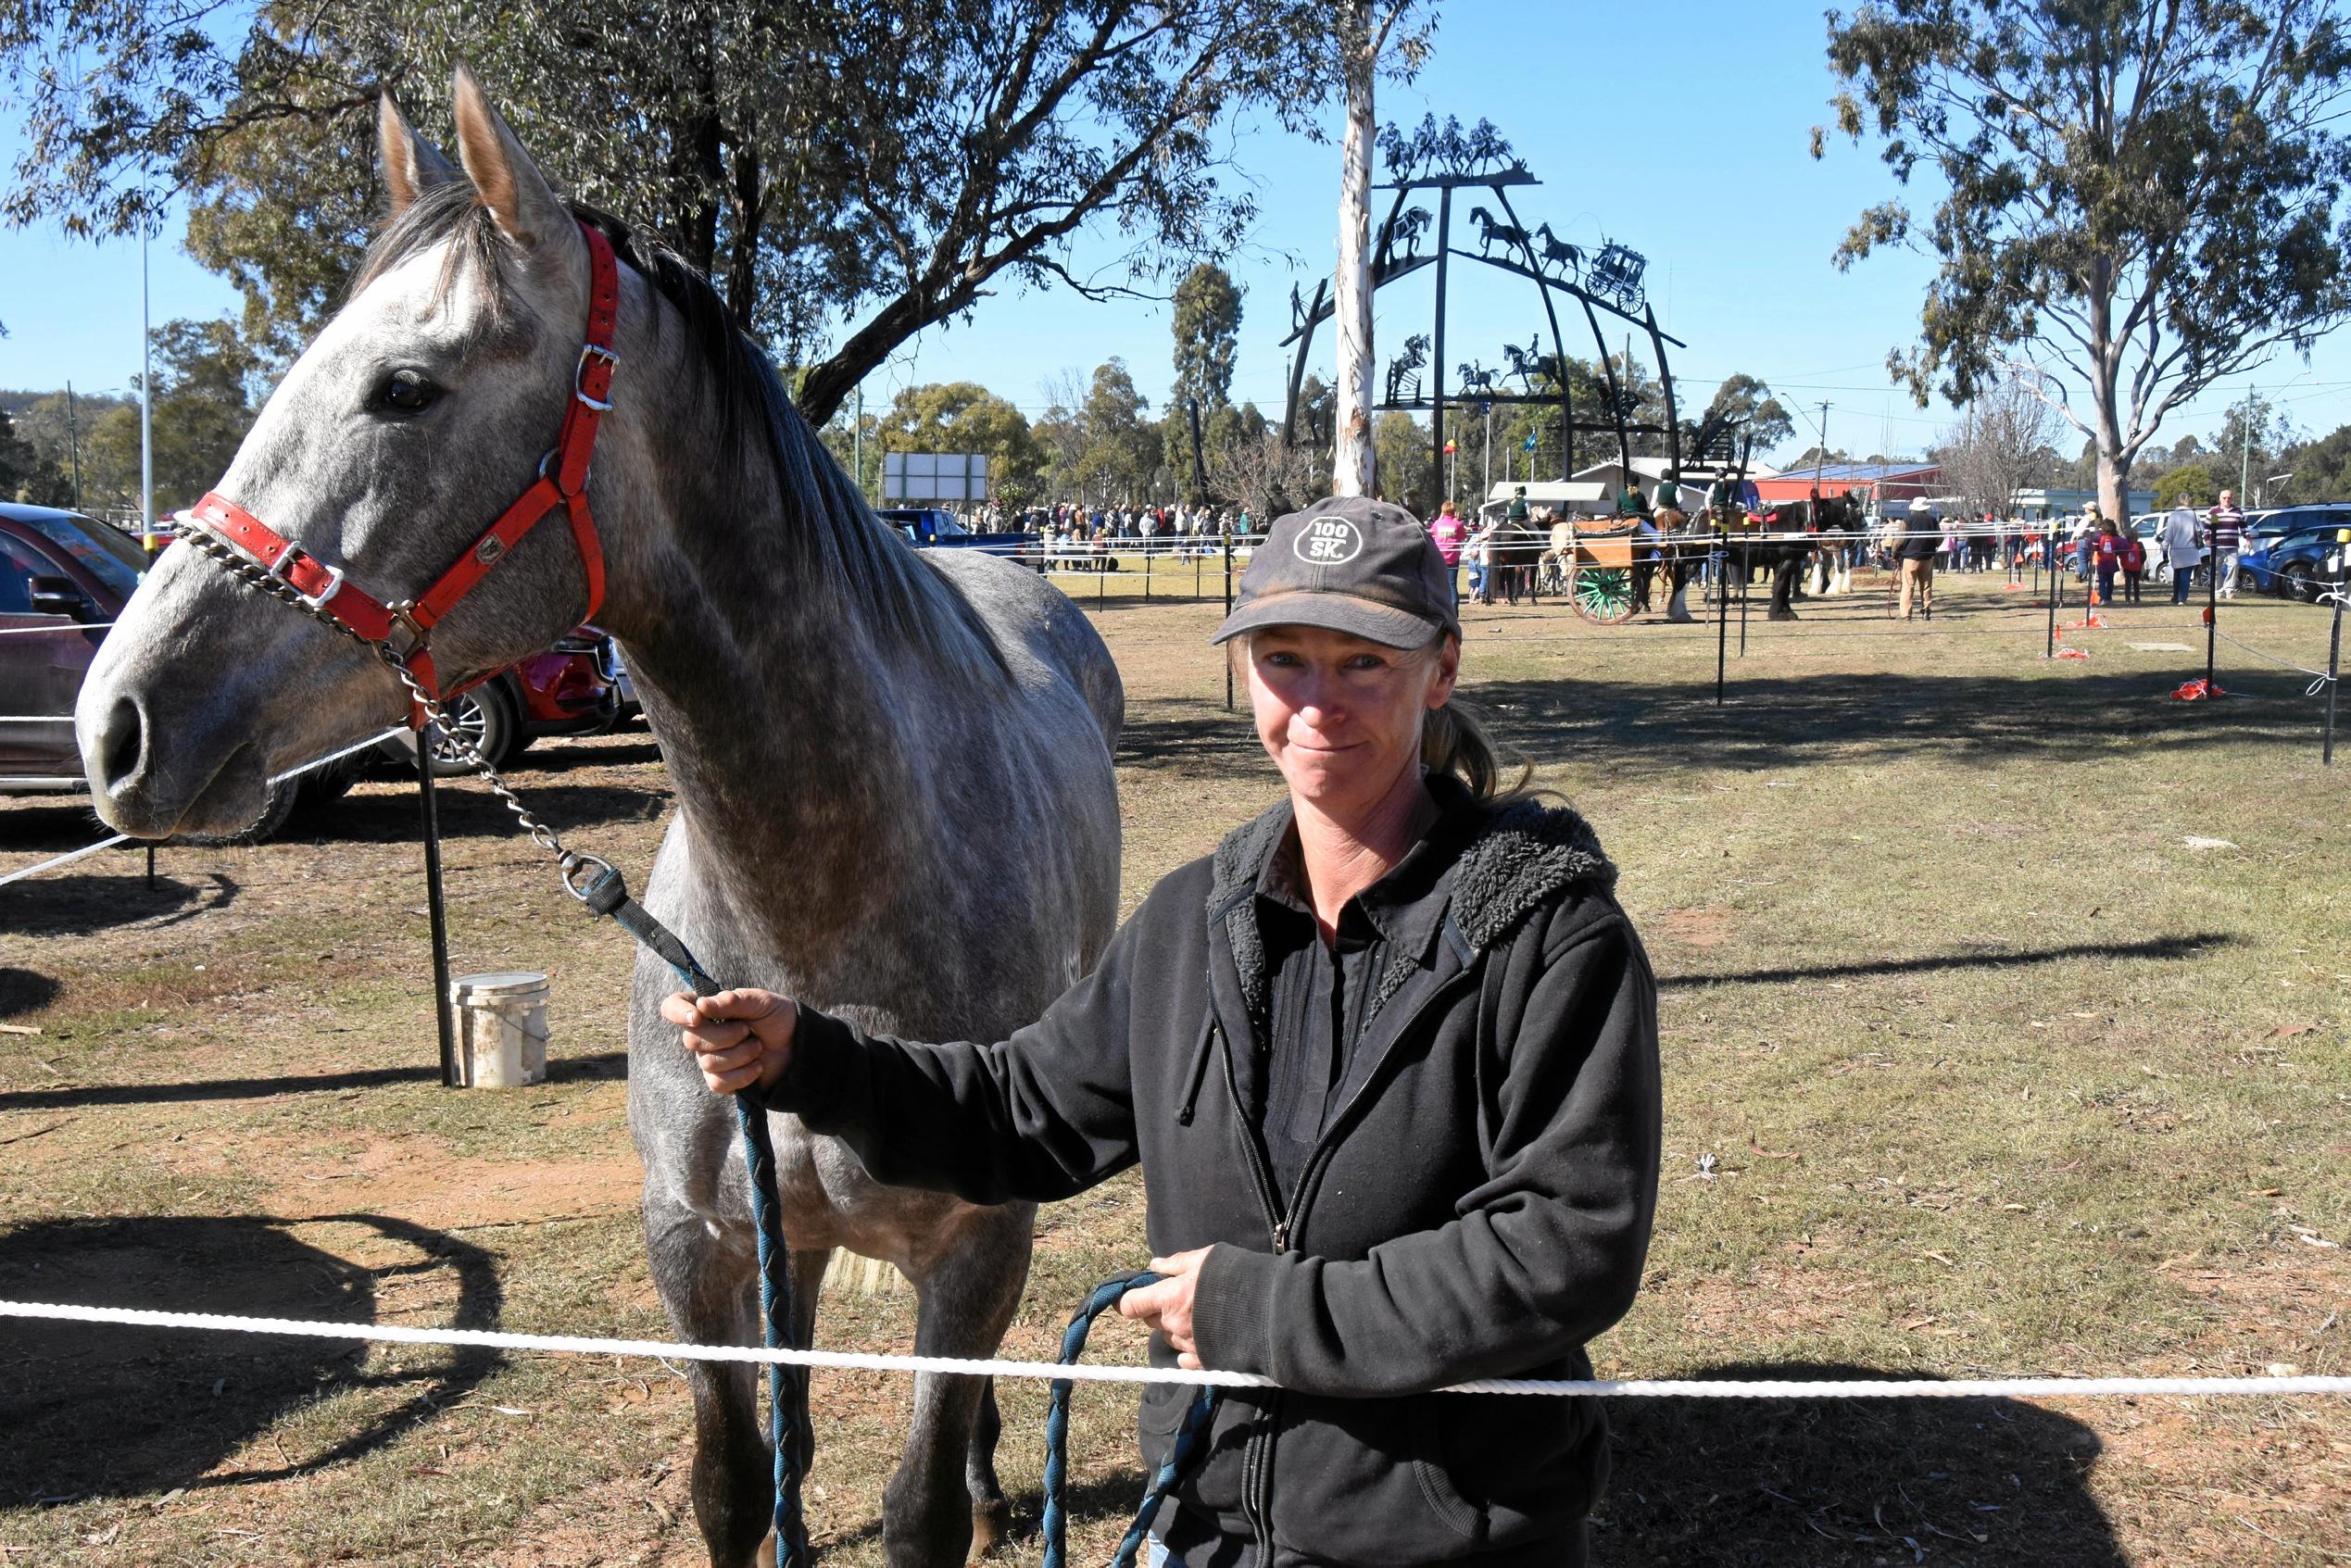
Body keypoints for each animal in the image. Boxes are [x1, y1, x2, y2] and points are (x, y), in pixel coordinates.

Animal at [78, 67, 1124, 1568]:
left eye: (405, 388)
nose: (118, 724)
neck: (823, 907)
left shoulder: (974, 1248)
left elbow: (917, 1506)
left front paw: (958, 1486)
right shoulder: (698, 1250)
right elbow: (739, 1485)